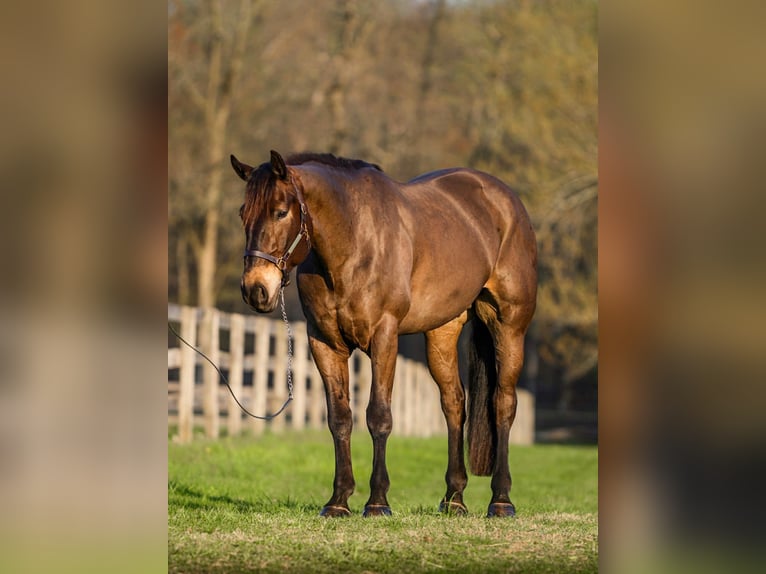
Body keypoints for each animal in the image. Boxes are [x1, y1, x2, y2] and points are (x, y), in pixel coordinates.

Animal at [230, 150, 537, 518]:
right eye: (243, 213)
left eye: (280, 211)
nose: (256, 290)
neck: (353, 244)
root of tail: (505, 199)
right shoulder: (324, 342)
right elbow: (340, 418)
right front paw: (338, 501)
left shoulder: (384, 337)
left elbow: (378, 415)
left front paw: (377, 502)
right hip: (442, 332)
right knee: (454, 404)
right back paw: (453, 498)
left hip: (509, 325)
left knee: (503, 403)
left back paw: (501, 500)